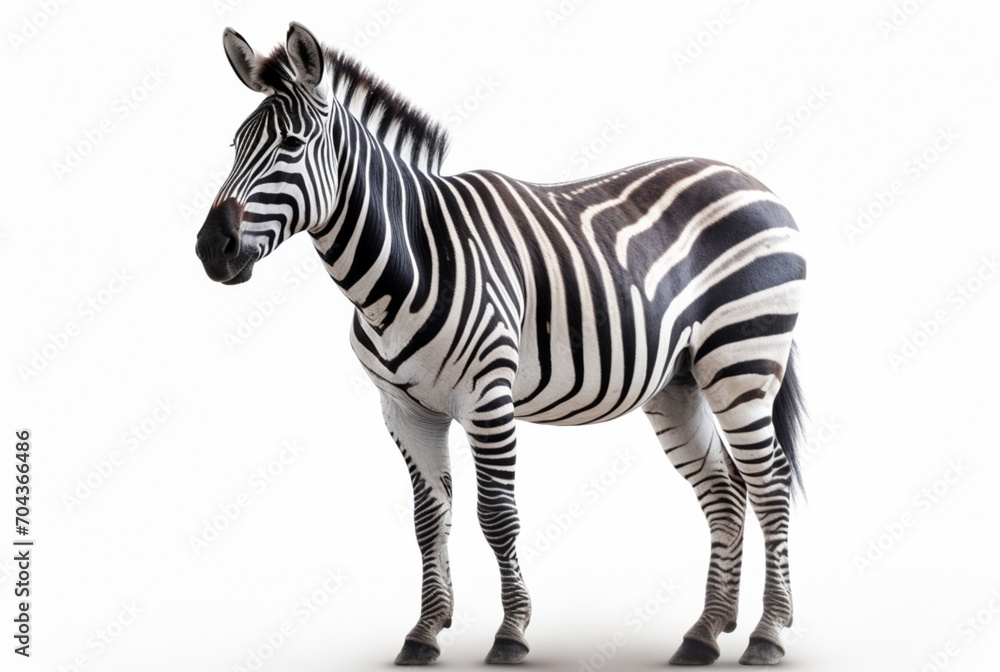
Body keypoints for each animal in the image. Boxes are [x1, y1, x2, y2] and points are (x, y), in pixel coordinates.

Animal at [195, 22, 807, 667]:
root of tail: (751, 179)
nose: (211, 248)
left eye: (291, 144)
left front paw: (511, 632)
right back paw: (705, 632)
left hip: (743, 361)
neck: (407, 261)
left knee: (770, 483)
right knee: (724, 489)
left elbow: (497, 516)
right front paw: (425, 631)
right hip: (679, 383)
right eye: (235, 145)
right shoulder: (405, 410)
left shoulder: (488, 399)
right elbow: (428, 520)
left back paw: (767, 633)